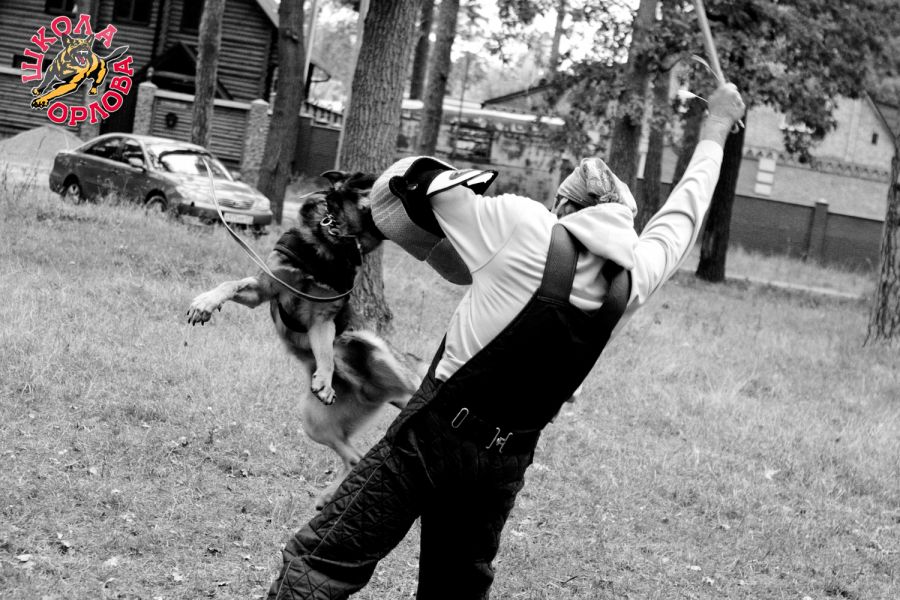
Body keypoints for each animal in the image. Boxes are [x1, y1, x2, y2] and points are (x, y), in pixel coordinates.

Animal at [187, 171, 419, 508]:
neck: (332, 241)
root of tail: (375, 391)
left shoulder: (322, 320)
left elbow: (325, 354)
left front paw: (324, 379)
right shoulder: (264, 288)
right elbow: (229, 283)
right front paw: (205, 303)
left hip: (381, 362)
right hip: (314, 424)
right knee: (355, 458)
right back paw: (328, 495)